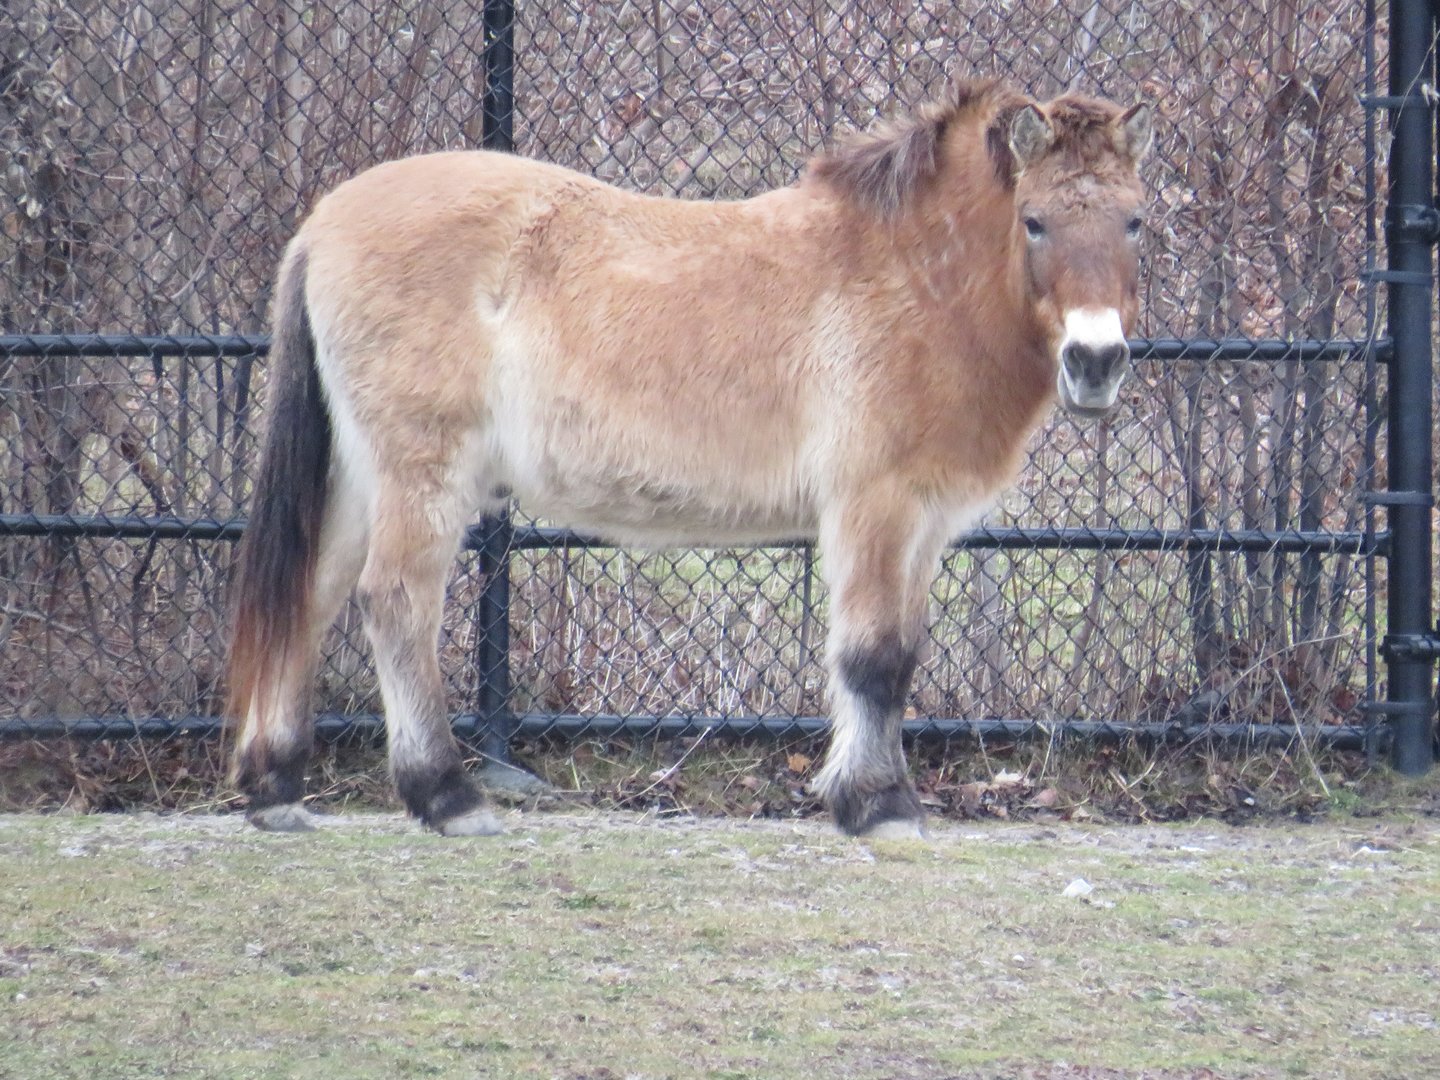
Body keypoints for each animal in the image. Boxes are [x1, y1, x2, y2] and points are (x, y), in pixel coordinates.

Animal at [227, 78, 1153, 839]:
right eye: (1035, 220)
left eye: (1135, 221)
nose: (1096, 361)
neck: (910, 277)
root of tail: (324, 221)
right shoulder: (875, 507)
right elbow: (871, 658)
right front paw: (878, 805)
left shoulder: (922, 523)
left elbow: (898, 656)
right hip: (422, 475)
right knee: (395, 602)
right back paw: (447, 796)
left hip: (362, 474)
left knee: (311, 593)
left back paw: (275, 787)